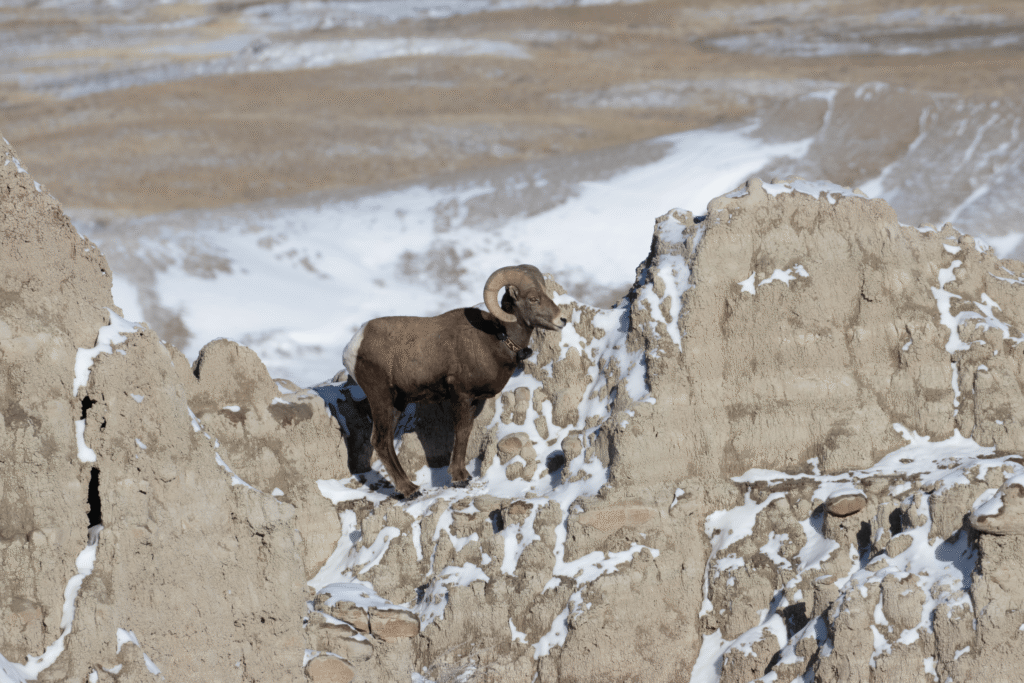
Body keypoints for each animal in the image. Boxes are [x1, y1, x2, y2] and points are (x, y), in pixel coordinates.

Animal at [342, 264, 566, 499]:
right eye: (533, 298)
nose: (562, 320)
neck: (495, 339)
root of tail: (354, 344)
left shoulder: (472, 400)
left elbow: (466, 432)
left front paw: (463, 475)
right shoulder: (461, 394)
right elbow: (459, 432)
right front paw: (459, 479)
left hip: (397, 403)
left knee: (385, 441)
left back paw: (411, 487)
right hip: (381, 397)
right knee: (379, 440)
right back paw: (409, 490)